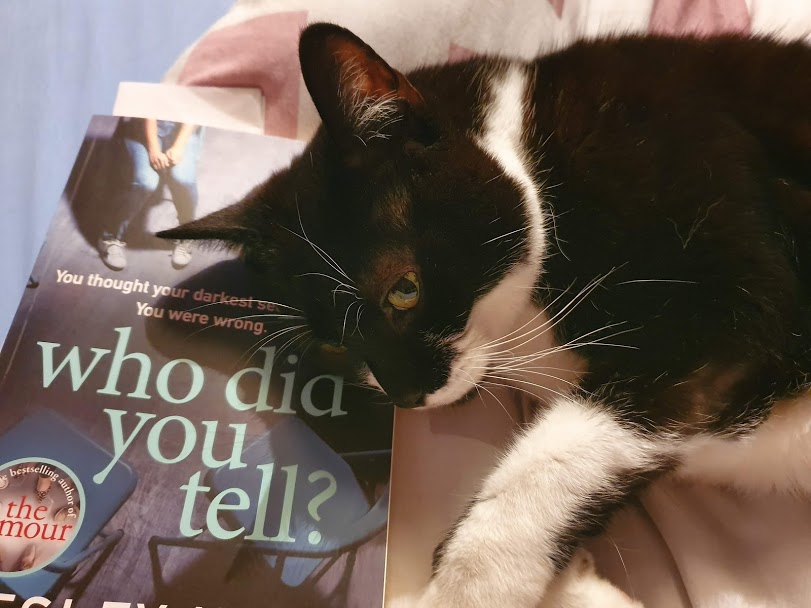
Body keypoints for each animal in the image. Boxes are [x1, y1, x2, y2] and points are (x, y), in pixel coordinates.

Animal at [162, 23, 811, 608]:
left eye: (404, 290)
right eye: (333, 344)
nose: (405, 394)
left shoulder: (734, 304)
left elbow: (544, 468)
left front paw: (458, 592)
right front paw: (574, 579)